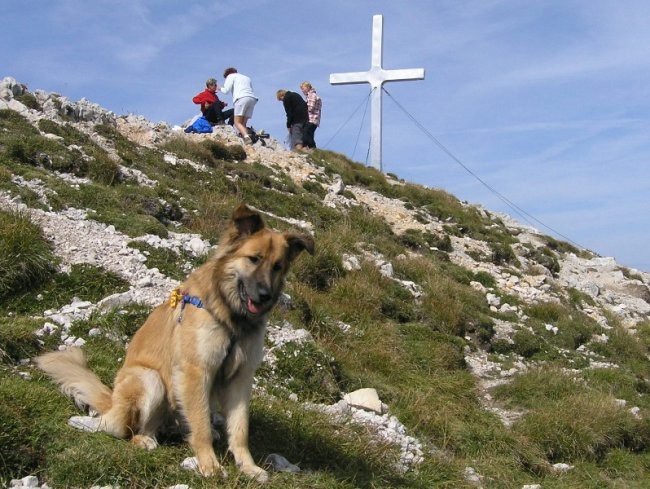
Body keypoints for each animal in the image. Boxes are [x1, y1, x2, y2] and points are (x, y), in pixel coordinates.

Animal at [36, 203, 316, 480]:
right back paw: (143, 439)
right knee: (129, 429)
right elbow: (201, 427)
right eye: (254, 259)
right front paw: (210, 465)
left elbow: (239, 429)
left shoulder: (240, 378)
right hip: (149, 379)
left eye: (277, 266)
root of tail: (111, 402)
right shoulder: (196, 371)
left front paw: (248, 466)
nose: (265, 296)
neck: (230, 316)